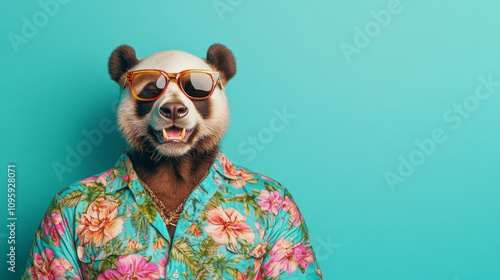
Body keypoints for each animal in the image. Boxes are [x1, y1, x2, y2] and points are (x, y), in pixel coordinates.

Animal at [21, 43, 322, 280]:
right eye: (151, 89)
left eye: (196, 89)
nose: (174, 109)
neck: (173, 164)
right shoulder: (59, 209)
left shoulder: (285, 206)